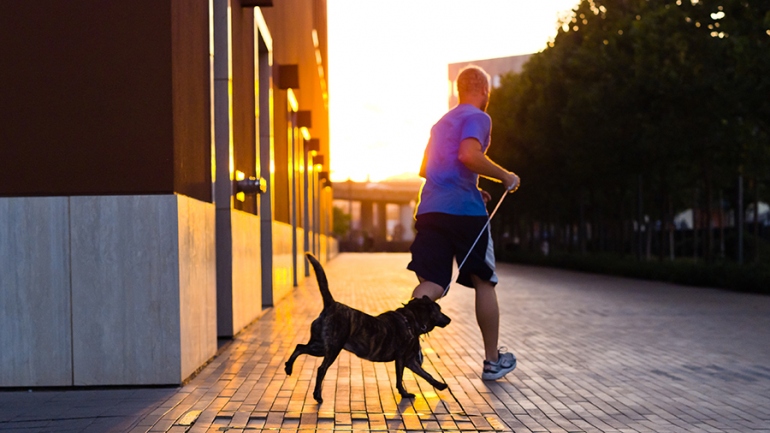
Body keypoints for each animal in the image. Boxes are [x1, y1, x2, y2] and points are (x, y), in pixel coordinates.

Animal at [284, 251, 448, 404]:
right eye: (439, 309)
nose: (449, 319)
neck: (410, 319)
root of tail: (331, 305)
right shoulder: (401, 358)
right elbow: (399, 378)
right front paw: (404, 394)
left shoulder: (411, 361)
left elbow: (427, 375)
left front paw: (440, 385)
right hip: (332, 348)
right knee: (321, 369)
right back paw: (317, 395)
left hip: (320, 346)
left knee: (299, 347)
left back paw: (288, 367)